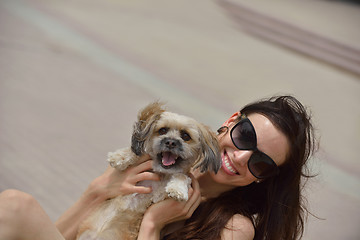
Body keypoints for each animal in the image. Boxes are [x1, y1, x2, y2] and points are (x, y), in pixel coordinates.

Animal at [76, 101, 219, 240]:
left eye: (185, 136)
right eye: (162, 130)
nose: (170, 142)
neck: (161, 173)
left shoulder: (159, 197)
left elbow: (183, 176)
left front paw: (177, 189)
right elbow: (138, 154)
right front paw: (119, 157)